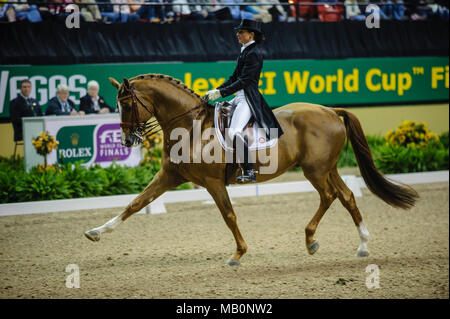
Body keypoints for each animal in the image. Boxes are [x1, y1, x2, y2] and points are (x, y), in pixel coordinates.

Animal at [84, 74, 418, 266]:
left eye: (127, 104)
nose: (127, 141)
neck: (190, 127)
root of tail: (330, 111)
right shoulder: (170, 176)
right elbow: (134, 204)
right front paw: (96, 232)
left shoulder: (212, 182)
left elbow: (229, 215)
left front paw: (237, 255)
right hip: (325, 168)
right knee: (345, 196)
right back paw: (353, 245)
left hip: (316, 170)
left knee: (331, 196)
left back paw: (321, 241)